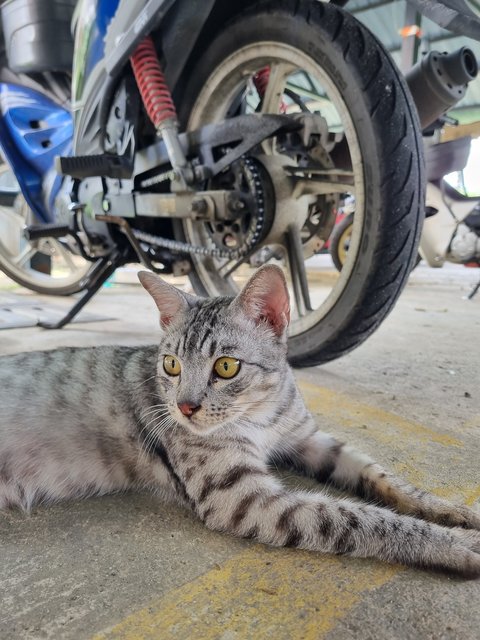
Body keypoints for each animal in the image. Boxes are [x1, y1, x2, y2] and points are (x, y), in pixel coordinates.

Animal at [0, 268, 480, 576]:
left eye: (226, 367)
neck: (261, 413)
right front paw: (456, 545)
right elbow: (357, 518)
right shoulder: (243, 497)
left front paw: (451, 511)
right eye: (171, 365)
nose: (185, 407)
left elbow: (381, 477)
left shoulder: (310, 440)